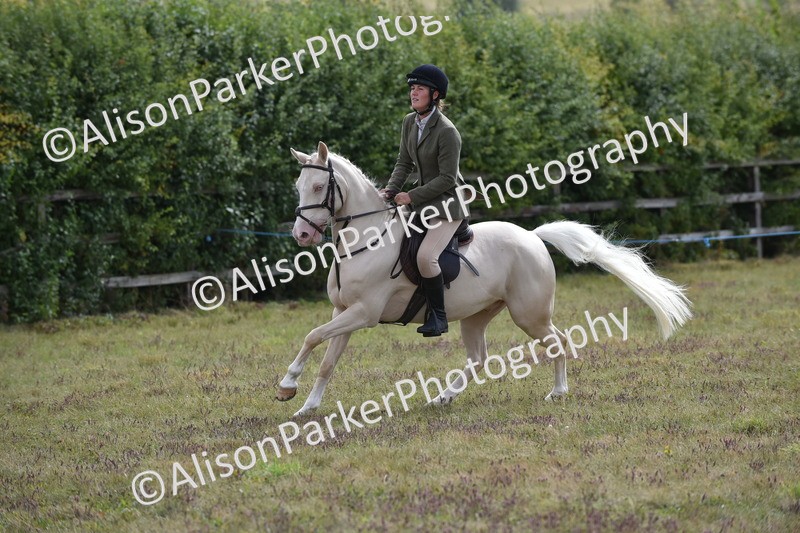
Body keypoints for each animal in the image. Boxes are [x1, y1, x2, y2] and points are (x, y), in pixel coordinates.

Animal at [277, 141, 692, 417]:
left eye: (319, 188)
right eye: (298, 187)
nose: (302, 235)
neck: (366, 240)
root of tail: (533, 236)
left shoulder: (363, 313)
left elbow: (311, 336)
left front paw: (286, 385)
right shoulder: (343, 312)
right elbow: (327, 358)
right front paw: (306, 406)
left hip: (529, 314)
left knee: (558, 342)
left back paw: (557, 393)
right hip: (477, 315)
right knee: (478, 359)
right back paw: (442, 398)